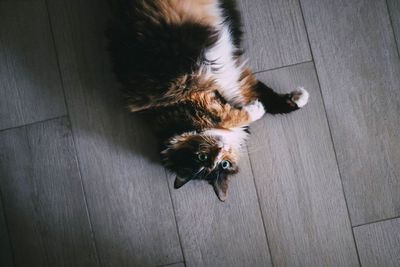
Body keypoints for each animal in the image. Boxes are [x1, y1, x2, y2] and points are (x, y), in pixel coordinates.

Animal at [107, 0, 310, 201]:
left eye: (224, 164)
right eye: (205, 160)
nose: (220, 150)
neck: (175, 124)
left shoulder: (227, 86)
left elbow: (270, 99)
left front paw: (300, 97)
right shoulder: (198, 97)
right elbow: (232, 115)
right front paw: (257, 110)